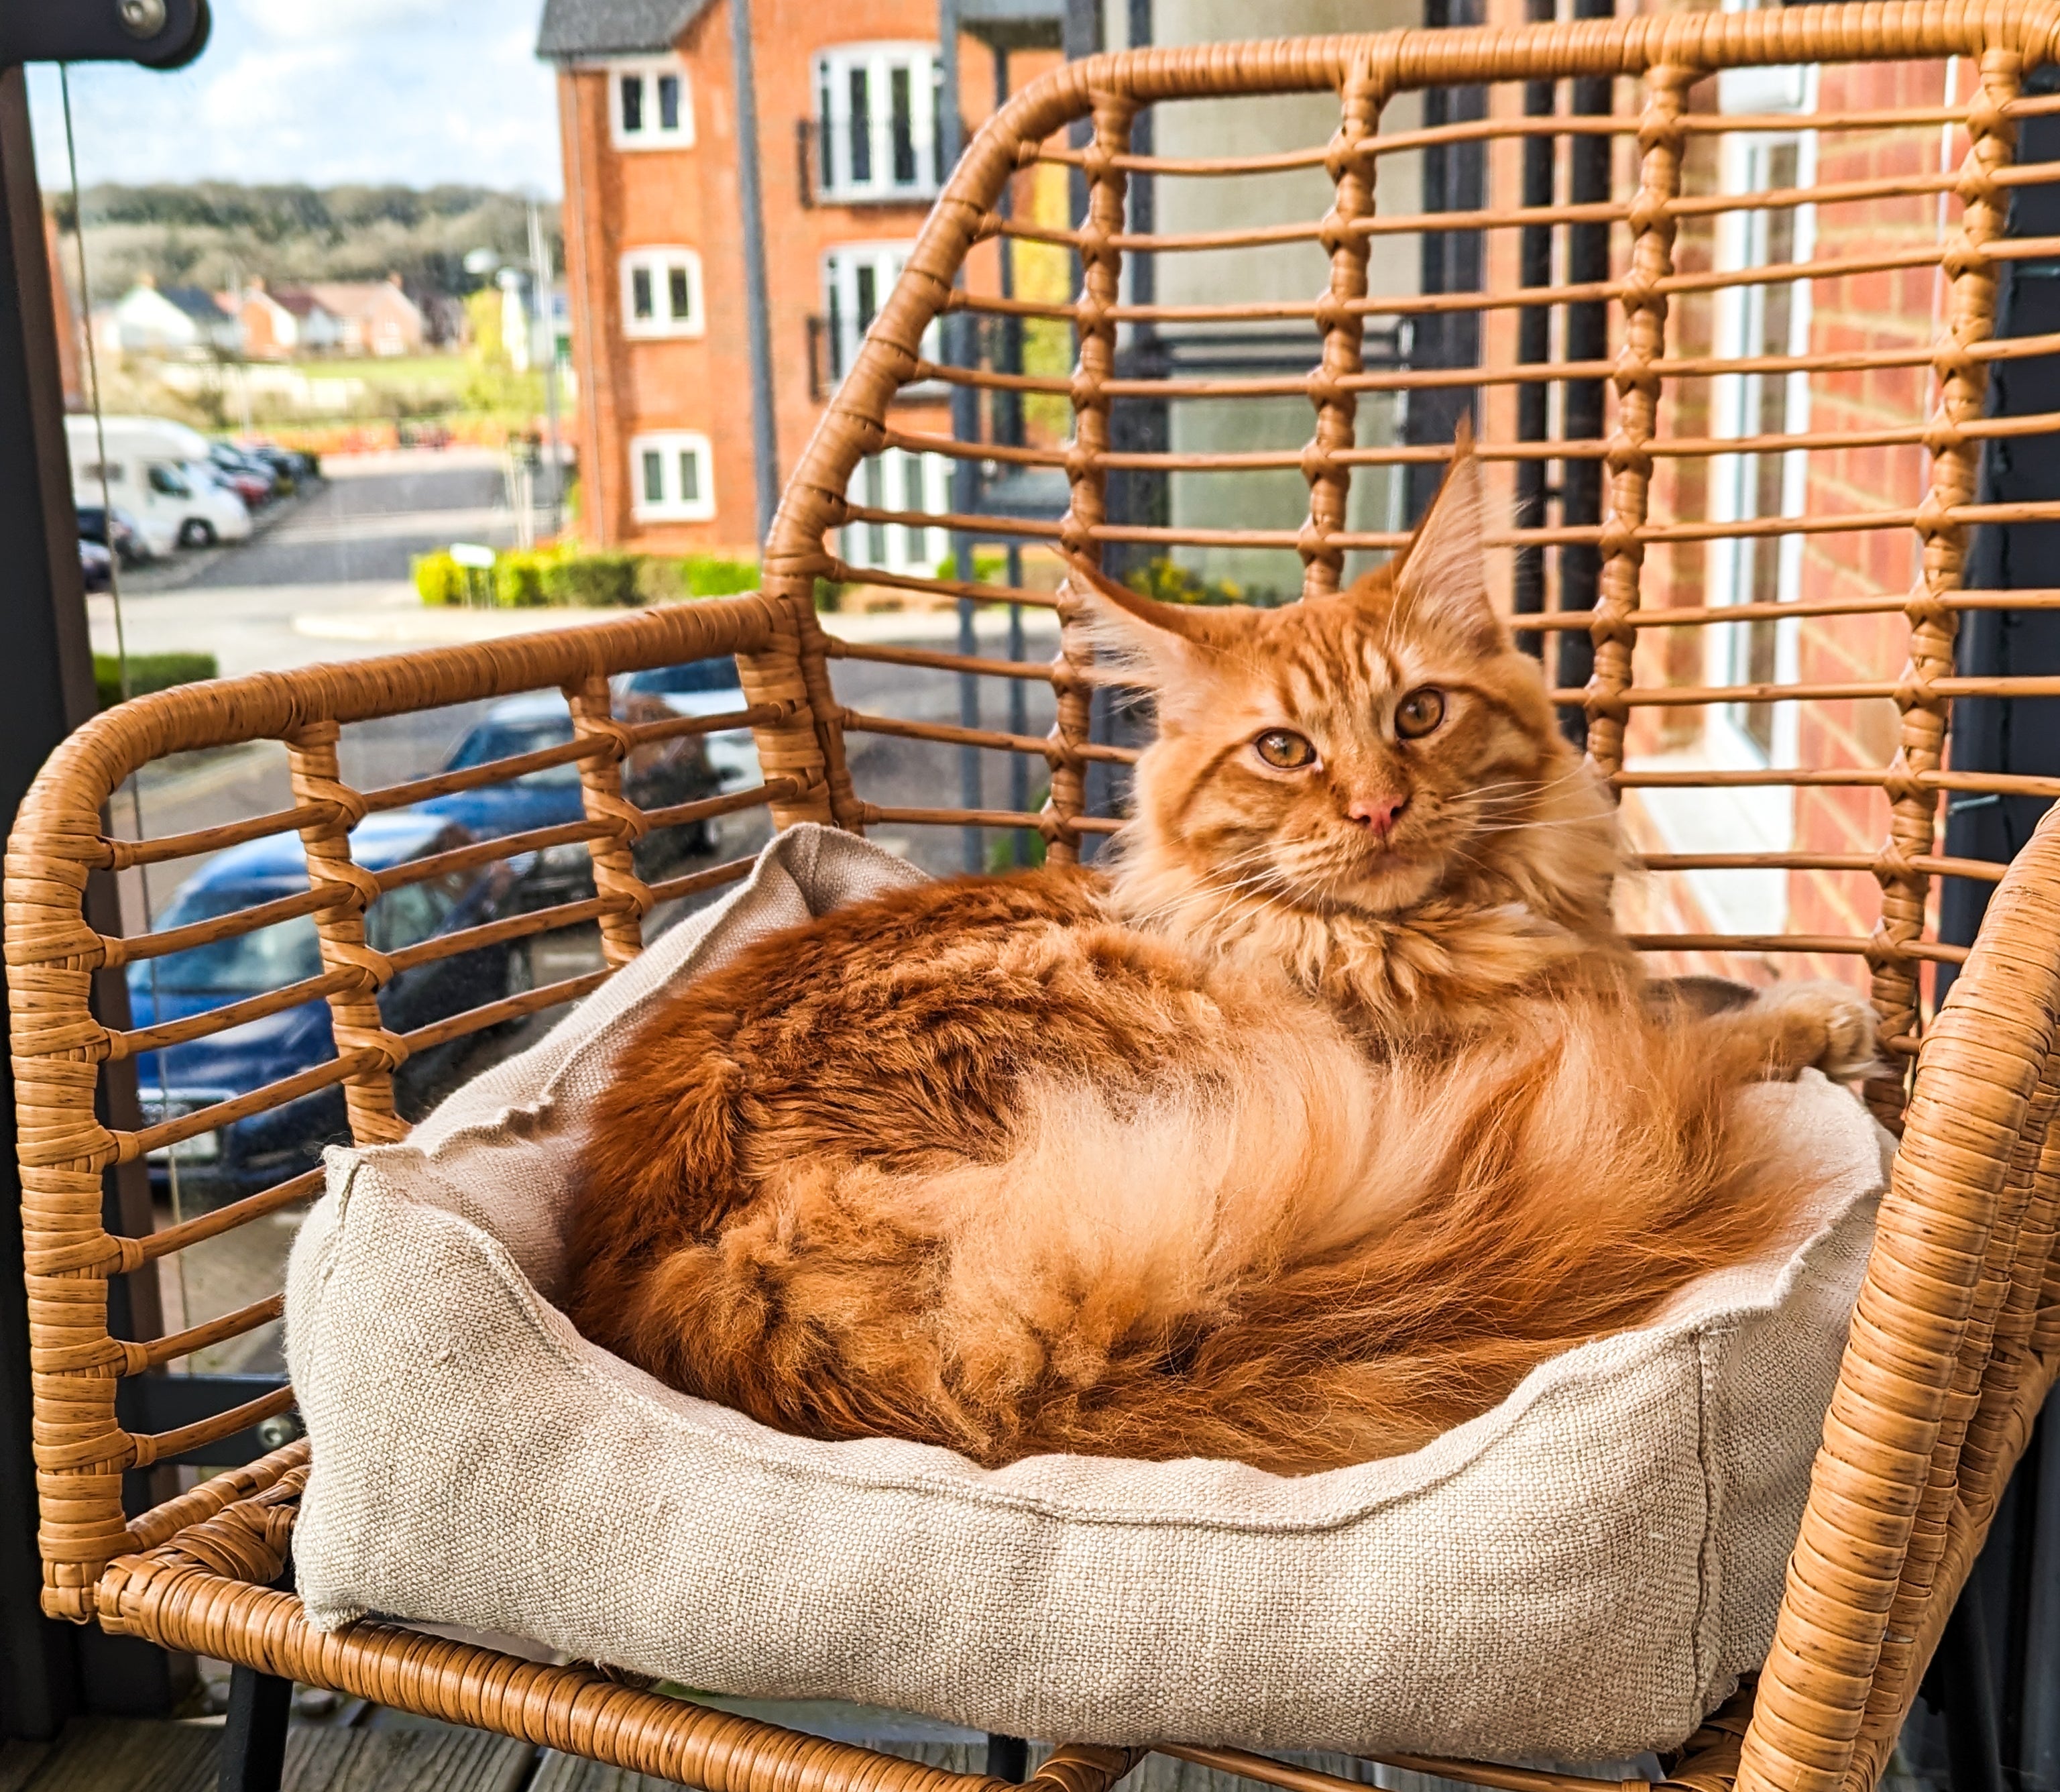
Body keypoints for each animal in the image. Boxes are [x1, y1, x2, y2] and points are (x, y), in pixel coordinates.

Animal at [560, 435, 1870, 1475]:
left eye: (1420, 714)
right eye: (1285, 750)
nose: (1379, 808)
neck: (1419, 929)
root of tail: (715, 1271)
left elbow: (1670, 986)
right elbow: (1699, 1027)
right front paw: (1815, 1016)